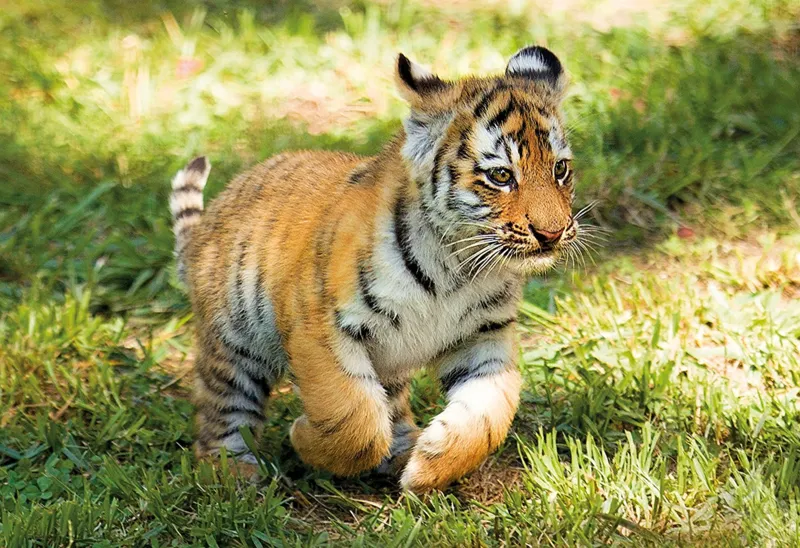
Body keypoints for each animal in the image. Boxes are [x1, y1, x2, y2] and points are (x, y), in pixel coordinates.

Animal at [169, 45, 579, 492]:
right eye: (501, 175)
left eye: (560, 169)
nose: (552, 233)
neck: (457, 265)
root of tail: (210, 219)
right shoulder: (320, 326)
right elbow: (352, 419)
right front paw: (303, 436)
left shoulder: (485, 337)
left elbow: (489, 416)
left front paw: (431, 464)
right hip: (235, 342)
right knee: (221, 408)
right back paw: (231, 471)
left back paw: (402, 450)